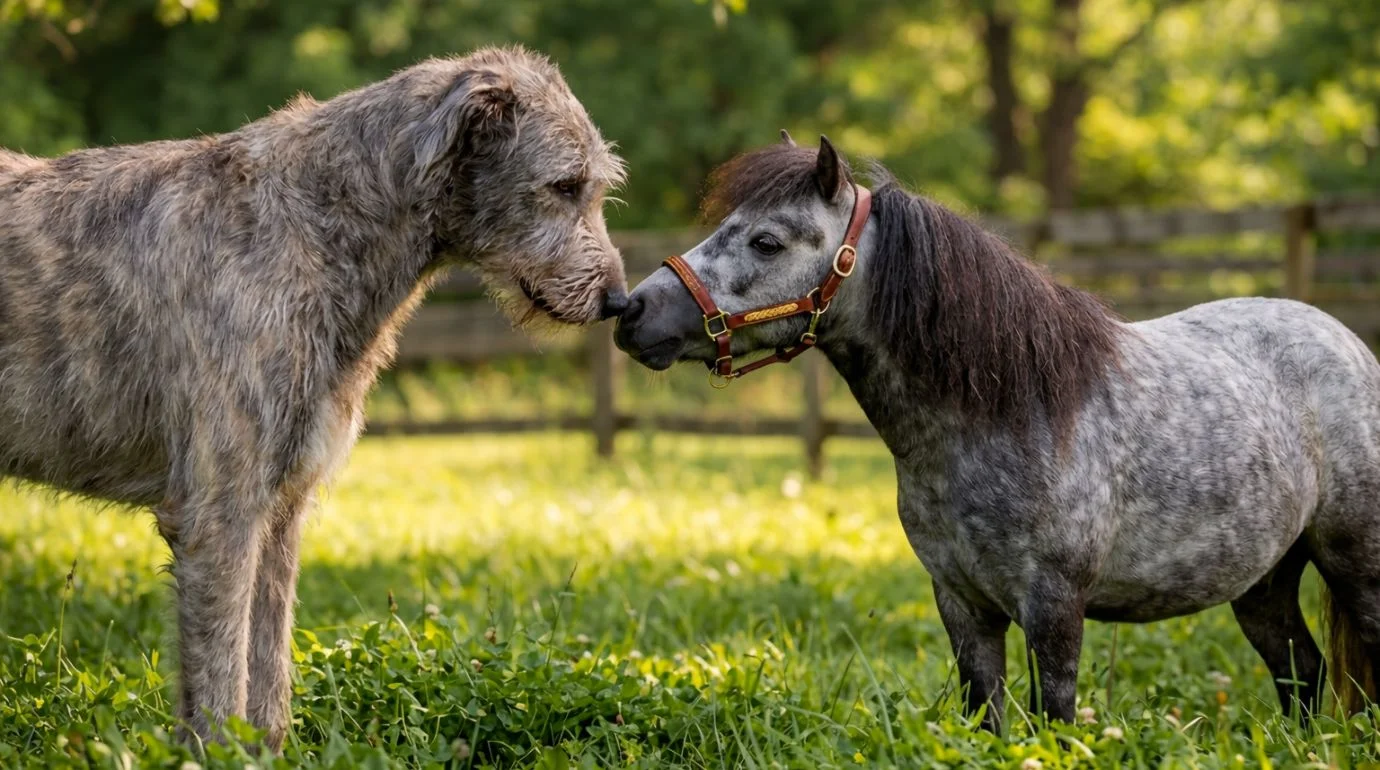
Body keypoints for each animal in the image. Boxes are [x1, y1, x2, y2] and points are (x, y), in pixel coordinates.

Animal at [613, 133, 1380, 731]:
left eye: (766, 241)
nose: (632, 311)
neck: (1006, 411)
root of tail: (1349, 345)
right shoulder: (963, 604)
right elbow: (988, 717)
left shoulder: (1054, 609)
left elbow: (1056, 721)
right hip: (1264, 582)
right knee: (1303, 676)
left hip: (1356, 566)